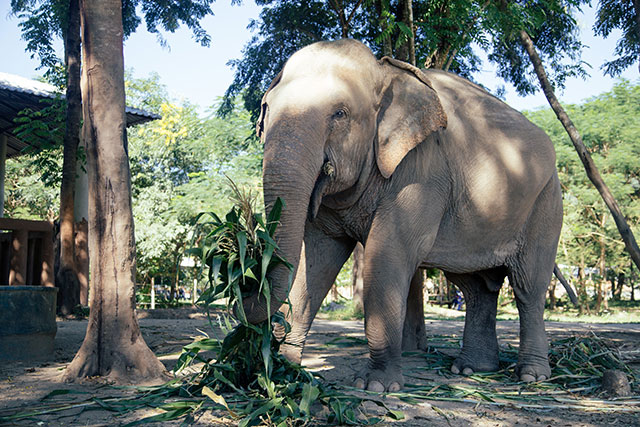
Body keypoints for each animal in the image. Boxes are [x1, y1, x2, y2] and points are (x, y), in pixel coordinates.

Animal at [242, 39, 563, 392]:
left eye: (340, 114)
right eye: (266, 108)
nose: (243, 277)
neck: (385, 71)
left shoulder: (422, 170)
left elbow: (387, 254)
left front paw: (376, 386)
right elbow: (315, 260)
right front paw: (281, 372)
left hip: (546, 202)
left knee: (528, 286)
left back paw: (532, 376)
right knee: (475, 287)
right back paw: (471, 370)